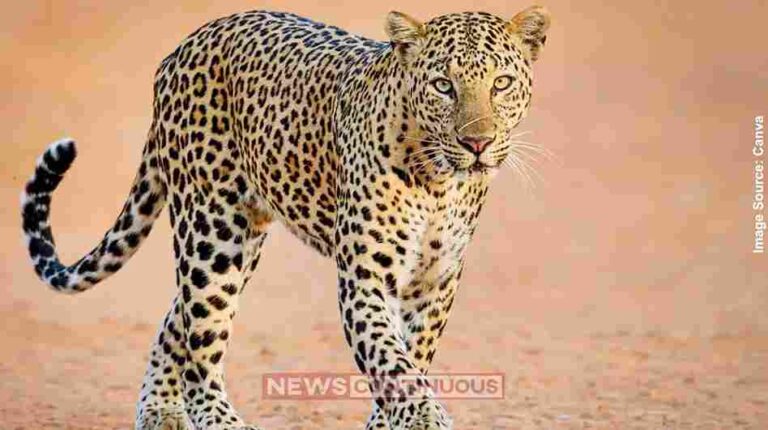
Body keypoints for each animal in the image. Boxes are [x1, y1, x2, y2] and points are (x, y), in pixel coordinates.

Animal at [21, 6, 551, 430]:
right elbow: (390, 361)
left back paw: (160, 412)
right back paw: (220, 422)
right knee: (200, 345)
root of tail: (181, 49)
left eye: (501, 84)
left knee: (177, 321)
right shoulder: (365, 278)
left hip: (239, 239)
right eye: (444, 86)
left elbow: (412, 358)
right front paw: (423, 417)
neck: (439, 183)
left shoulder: (435, 281)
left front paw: (392, 422)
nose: (477, 143)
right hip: (213, 235)